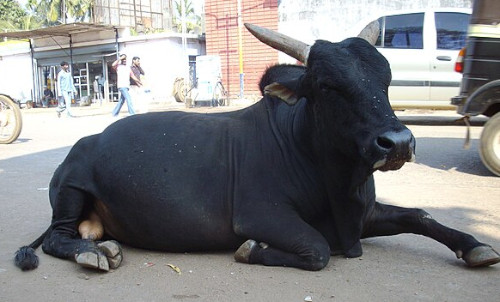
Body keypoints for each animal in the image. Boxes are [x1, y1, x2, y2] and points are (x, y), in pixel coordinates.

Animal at [13, 22, 498, 270]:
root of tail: (87, 141)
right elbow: (318, 250)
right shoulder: (262, 215)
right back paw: (94, 253)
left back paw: (100, 244)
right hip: (71, 188)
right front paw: (253, 249)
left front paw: (474, 245)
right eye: (327, 85)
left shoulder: (362, 215)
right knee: (56, 238)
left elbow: (419, 215)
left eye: (387, 78)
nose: (396, 141)